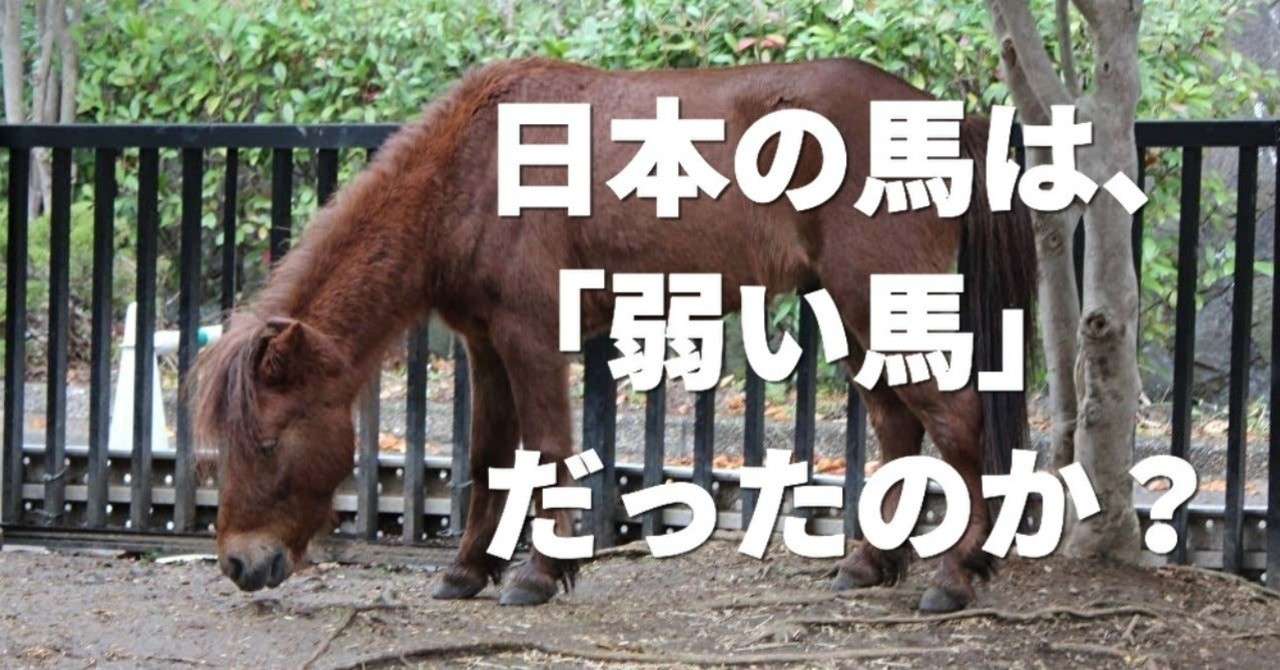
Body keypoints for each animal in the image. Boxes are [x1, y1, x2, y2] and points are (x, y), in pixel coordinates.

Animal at [193, 56, 1034, 613]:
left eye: (266, 442)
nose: (238, 564)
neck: (473, 168)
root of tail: (944, 118)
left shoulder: (531, 334)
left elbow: (546, 452)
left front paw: (538, 574)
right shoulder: (484, 345)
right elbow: (489, 458)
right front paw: (468, 570)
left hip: (873, 299)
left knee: (956, 420)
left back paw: (957, 575)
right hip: (849, 307)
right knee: (898, 426)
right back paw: (869, 563)